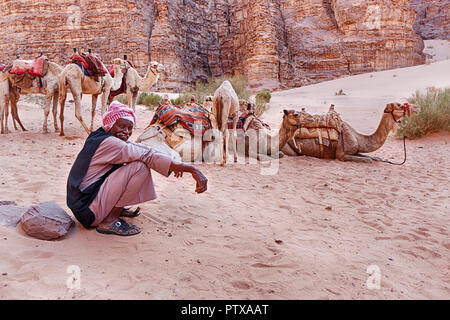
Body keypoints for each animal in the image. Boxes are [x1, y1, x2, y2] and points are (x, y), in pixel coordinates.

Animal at [284, 103, 420, 162]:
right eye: (400, 105)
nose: (417, 108)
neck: (357, 137)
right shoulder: (340, 155)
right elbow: (368, 160)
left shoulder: (356, 150)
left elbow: (372, 157)